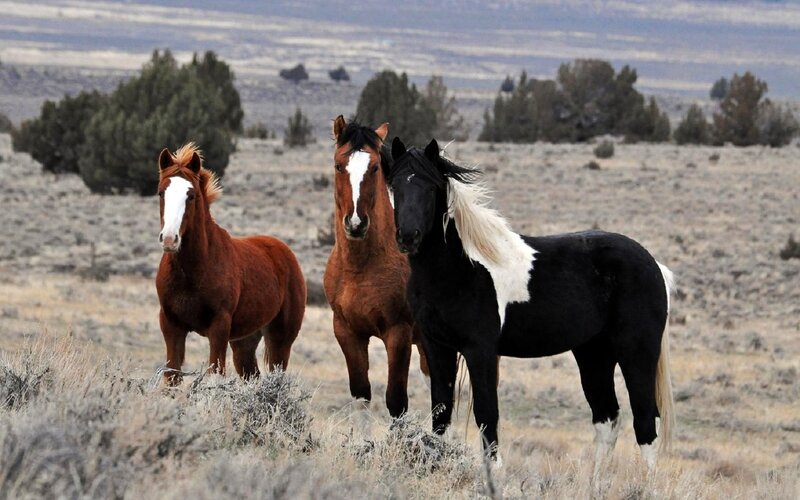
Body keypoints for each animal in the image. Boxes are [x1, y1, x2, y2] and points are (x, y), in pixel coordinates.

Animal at [155, 143, 306, 385]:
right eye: (161, 192)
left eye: (191, 195)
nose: (170, 239)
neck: (192, 271)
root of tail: (284, 251)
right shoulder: (171, 325)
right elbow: (172, 376)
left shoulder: (219, 327)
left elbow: (215, 374)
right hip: (244, 341)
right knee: (251, 374)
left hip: (280, 339)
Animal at [323, 116, 430, 417]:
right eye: (338, 165)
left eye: (374, 167)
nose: (356, 223)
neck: (360, 269)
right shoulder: (347, 332)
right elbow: (361, 395)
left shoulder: (398, 333)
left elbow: (396, 402)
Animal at [385, 137, 675, 477]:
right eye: (394, 186)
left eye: (430, 187)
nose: (408, 236)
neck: (461, 268)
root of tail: (653, 265)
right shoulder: (437, 346)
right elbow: (440, 413)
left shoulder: (480, 350)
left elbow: (487, 414)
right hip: (594, 353)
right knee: (607, 418)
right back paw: (596, 484)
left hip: (636, 352)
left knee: (646, 421)